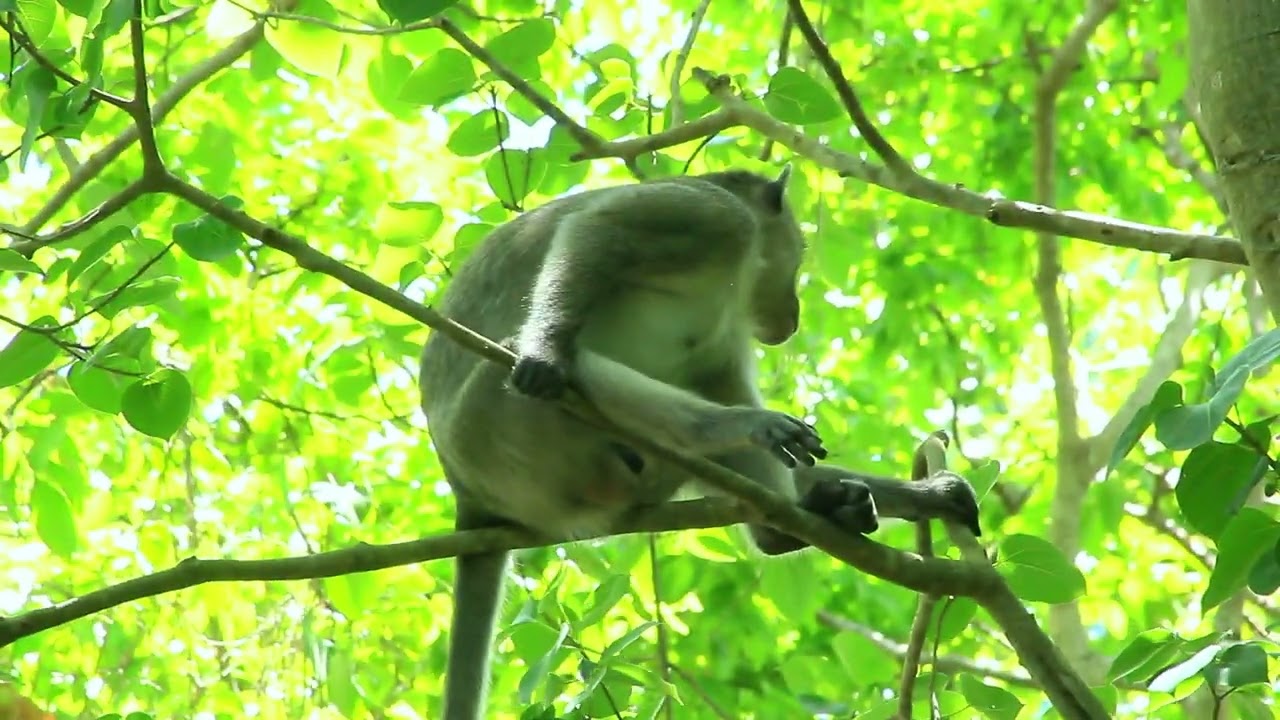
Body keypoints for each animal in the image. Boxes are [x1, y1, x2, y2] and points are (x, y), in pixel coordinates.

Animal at [417, 166, 982, 720]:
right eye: (798, 255)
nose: (794, 312)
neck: (736, 278)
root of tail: (467, 493)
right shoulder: (714, 216)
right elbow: (597, 230)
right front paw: (544, 349)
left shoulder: (724, 339)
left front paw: (927, 496)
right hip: (493, 434)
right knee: (543, 360)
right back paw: (737, 428)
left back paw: (797, 519)